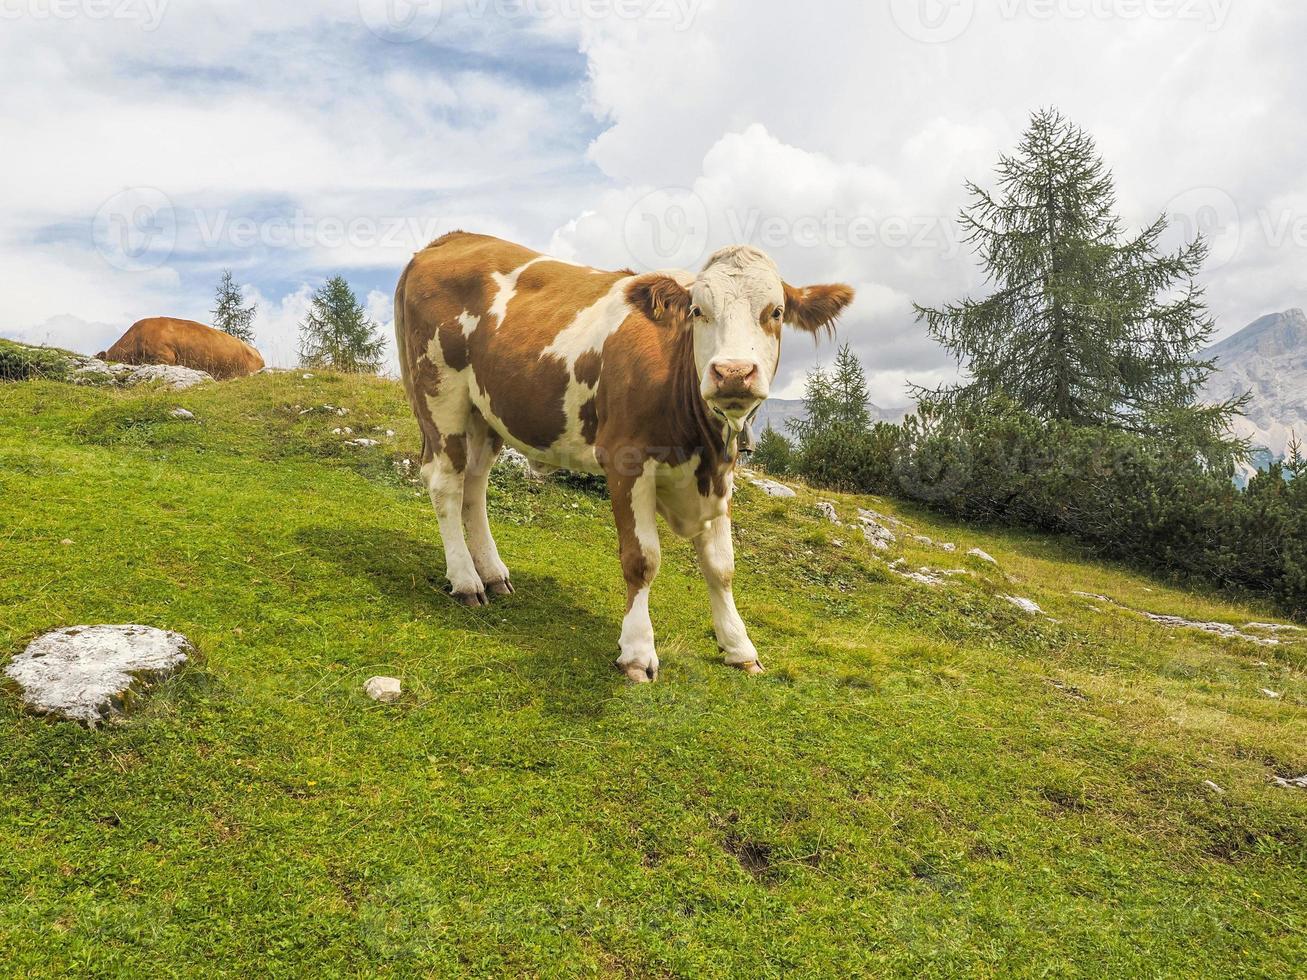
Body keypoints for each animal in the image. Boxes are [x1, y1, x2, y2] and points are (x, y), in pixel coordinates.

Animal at [392, 233, 852, 684]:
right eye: (698, 311)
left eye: (775, 311)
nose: (733, 372)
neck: (700, 446)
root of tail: (448, 240)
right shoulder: (626, 461)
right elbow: (641, 559)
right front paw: (637, 652)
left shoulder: (720, 475)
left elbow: (721, 565)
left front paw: (739, 647)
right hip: (440, 393)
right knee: (446, 483)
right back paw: (466, 580)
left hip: (486, 412)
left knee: (474, 485)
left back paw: (492, 573)